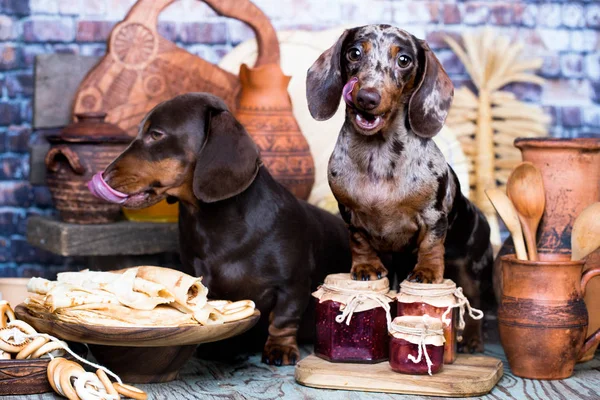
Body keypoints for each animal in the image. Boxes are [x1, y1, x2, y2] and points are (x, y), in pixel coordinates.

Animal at [99, 92, 352, 364]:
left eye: (156, 134)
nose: (104, 176)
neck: (216, 225)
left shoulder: (293, 285)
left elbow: (283, 319)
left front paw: (279, 348)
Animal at [304, 24, 492, 350]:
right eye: (354, 53)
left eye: (404, 60)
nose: (367, 97)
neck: (378, 157)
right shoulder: (349, 213)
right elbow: (359, 241)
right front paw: (366, 268)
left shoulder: (434, 215)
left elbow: (431, 245)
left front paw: (427, 272)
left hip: (473, 269)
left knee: (474, 302)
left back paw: (471, 339)